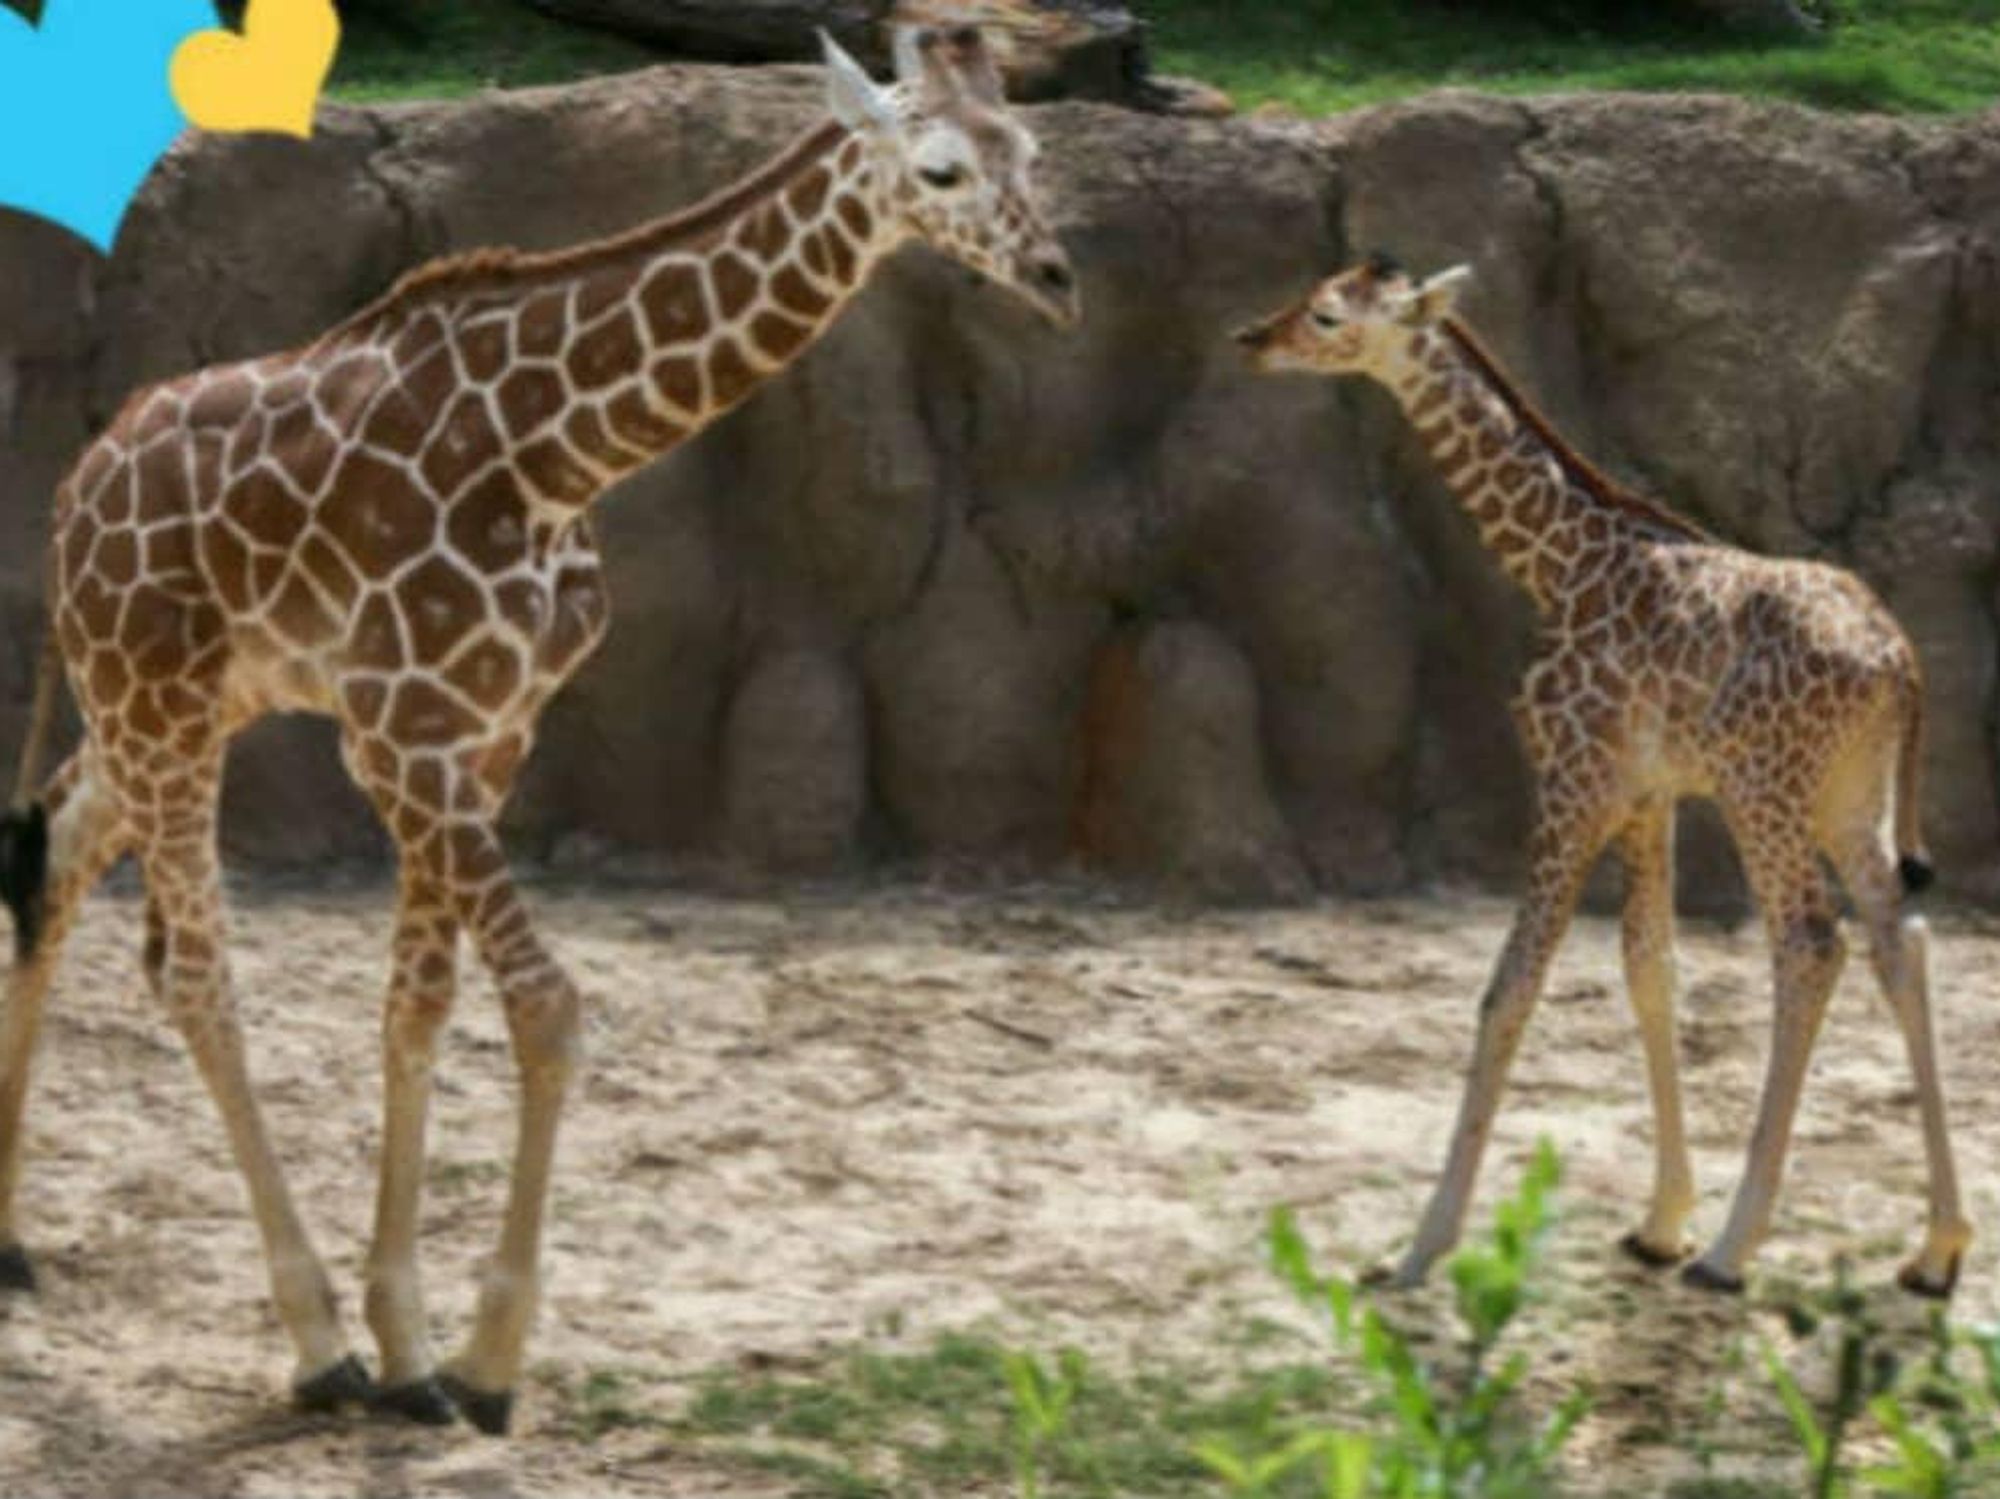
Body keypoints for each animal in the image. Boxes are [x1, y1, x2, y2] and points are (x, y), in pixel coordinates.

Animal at [0, 25, 1077, 1433]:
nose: (1057, 277)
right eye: (940, 169)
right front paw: (480, 1358)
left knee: (55, 847)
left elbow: (419, 1003)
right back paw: (313, 1342)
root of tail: (76, 488)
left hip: (184, 698)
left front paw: (416, 1349)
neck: (558, 453)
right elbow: (548, 1007)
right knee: (191, 967)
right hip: (156, 690)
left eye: (1032, 151)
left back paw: (12, 1241)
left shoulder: (484, 729)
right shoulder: (400, 736)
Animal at [1236, 254, 1970, 1299]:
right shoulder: (1646, 794)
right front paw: (1660, 1219)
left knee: (1810, 944)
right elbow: (1649, 968)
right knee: (1898, 935)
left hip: (1766, 792)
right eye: (1307, 294)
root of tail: (1899, 660)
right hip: (1848, 797)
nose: (1252, 339)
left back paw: (1734, 1249)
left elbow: (1509, 987)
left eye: (1330, 315)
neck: (1563, 563)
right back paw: (1936, 1247)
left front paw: (1420, 1245)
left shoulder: (1571, 779)